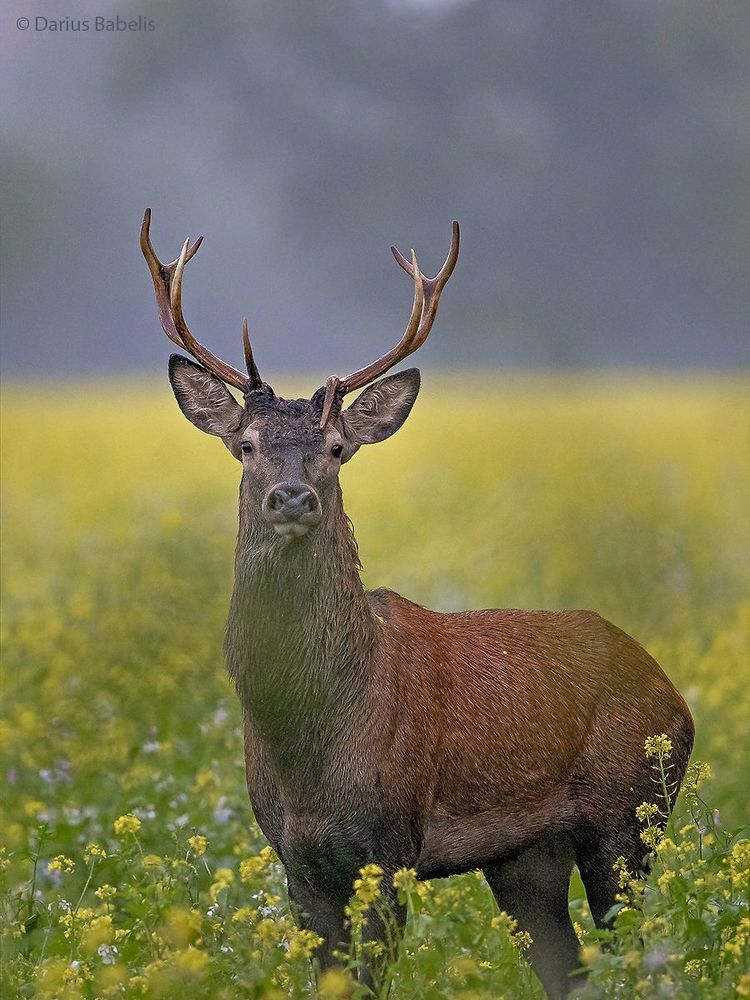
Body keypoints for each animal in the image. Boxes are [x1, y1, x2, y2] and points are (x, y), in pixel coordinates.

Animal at [140, 209, 694, 999]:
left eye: (336, 448)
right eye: (244, 445)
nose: (292, 498)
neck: (314, 729)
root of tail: (669, 688)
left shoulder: (391, 844)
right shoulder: (293, 859)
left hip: (631, 812)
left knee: (637, 952)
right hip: (526, 857)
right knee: (572, 967)